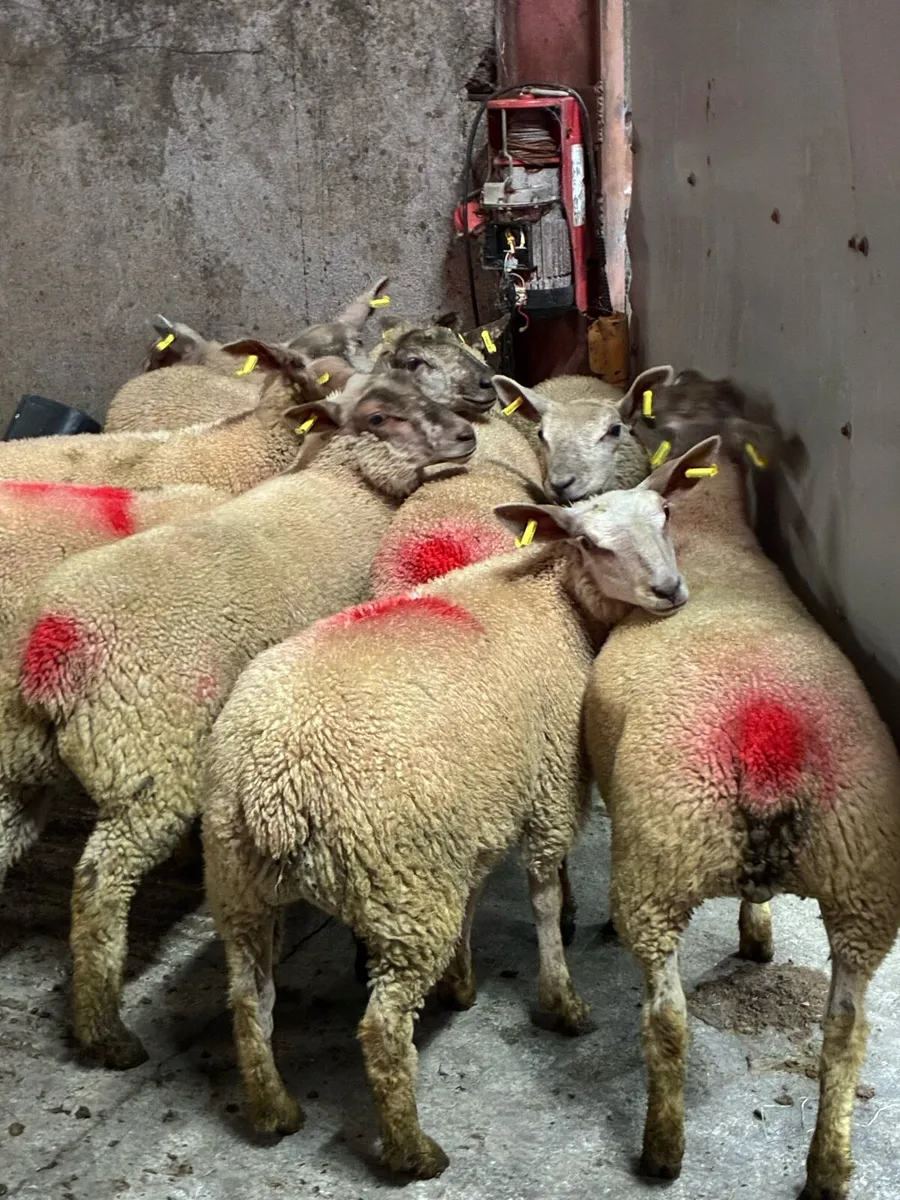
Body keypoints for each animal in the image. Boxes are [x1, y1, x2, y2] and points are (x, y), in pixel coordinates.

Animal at [200, 437, 720, 1179]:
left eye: (666, 514)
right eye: (590, 543)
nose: (668, 591)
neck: (554, 600)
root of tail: (271, 788)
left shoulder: (471, 808)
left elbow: (476, 892)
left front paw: (463, 983)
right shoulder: (549, 787)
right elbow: (540, 897)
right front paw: (560, 999)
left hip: (240, 883)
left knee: (249, 1002)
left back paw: (274, 1111)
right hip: (401, 891)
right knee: (383, 1030)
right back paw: (413, 1151)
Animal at [583, 370, 900, 1199]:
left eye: (638, 424)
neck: (717, 537)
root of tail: (769, 750)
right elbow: (757, 898)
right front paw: (758, 934)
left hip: (658, 871)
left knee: (667, 1021)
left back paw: (662, 1150)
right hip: (865, 886)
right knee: (847, 1033)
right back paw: (831, 1168)